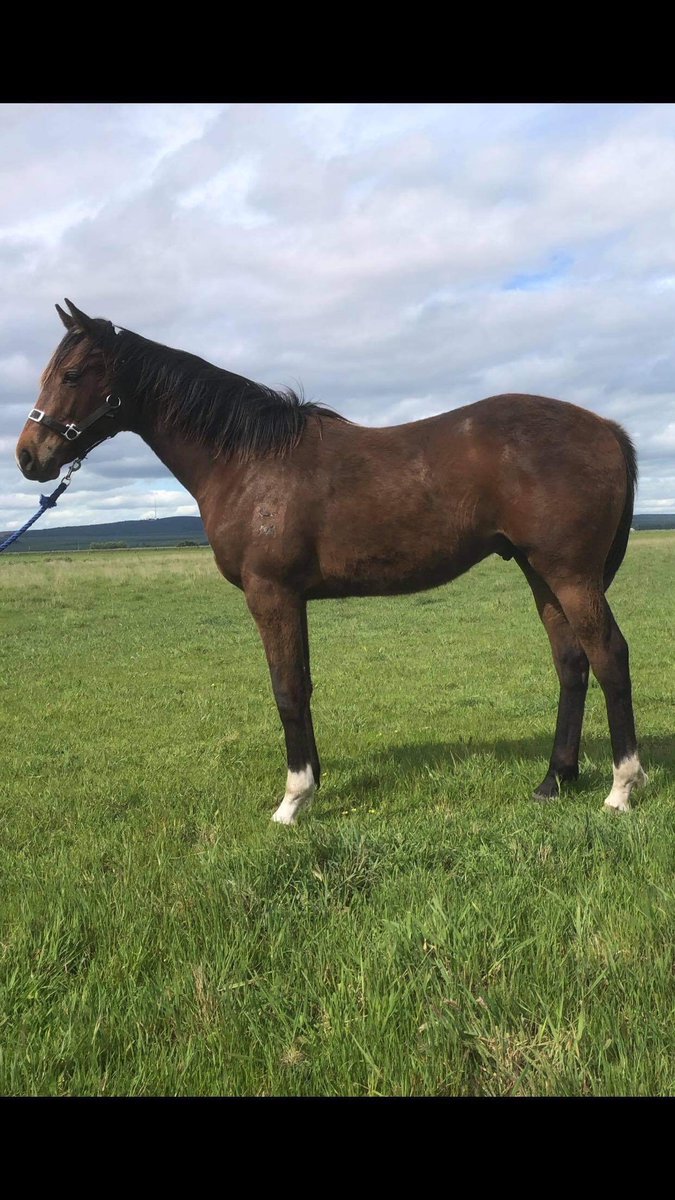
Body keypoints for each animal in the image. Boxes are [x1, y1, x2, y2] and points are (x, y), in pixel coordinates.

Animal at [15, 299, 647, 823]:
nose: (27, 457)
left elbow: (287, 688)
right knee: (572, 663)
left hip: (570, 575)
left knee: (609, 656)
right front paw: (311, 783)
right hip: (540, 573)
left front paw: (293, 800)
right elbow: (303, 683)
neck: (249, 462)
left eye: (72, 375)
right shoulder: (291, 596)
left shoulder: (270, 592)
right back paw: (554, 781)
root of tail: (607, 429)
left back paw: (621, 787)